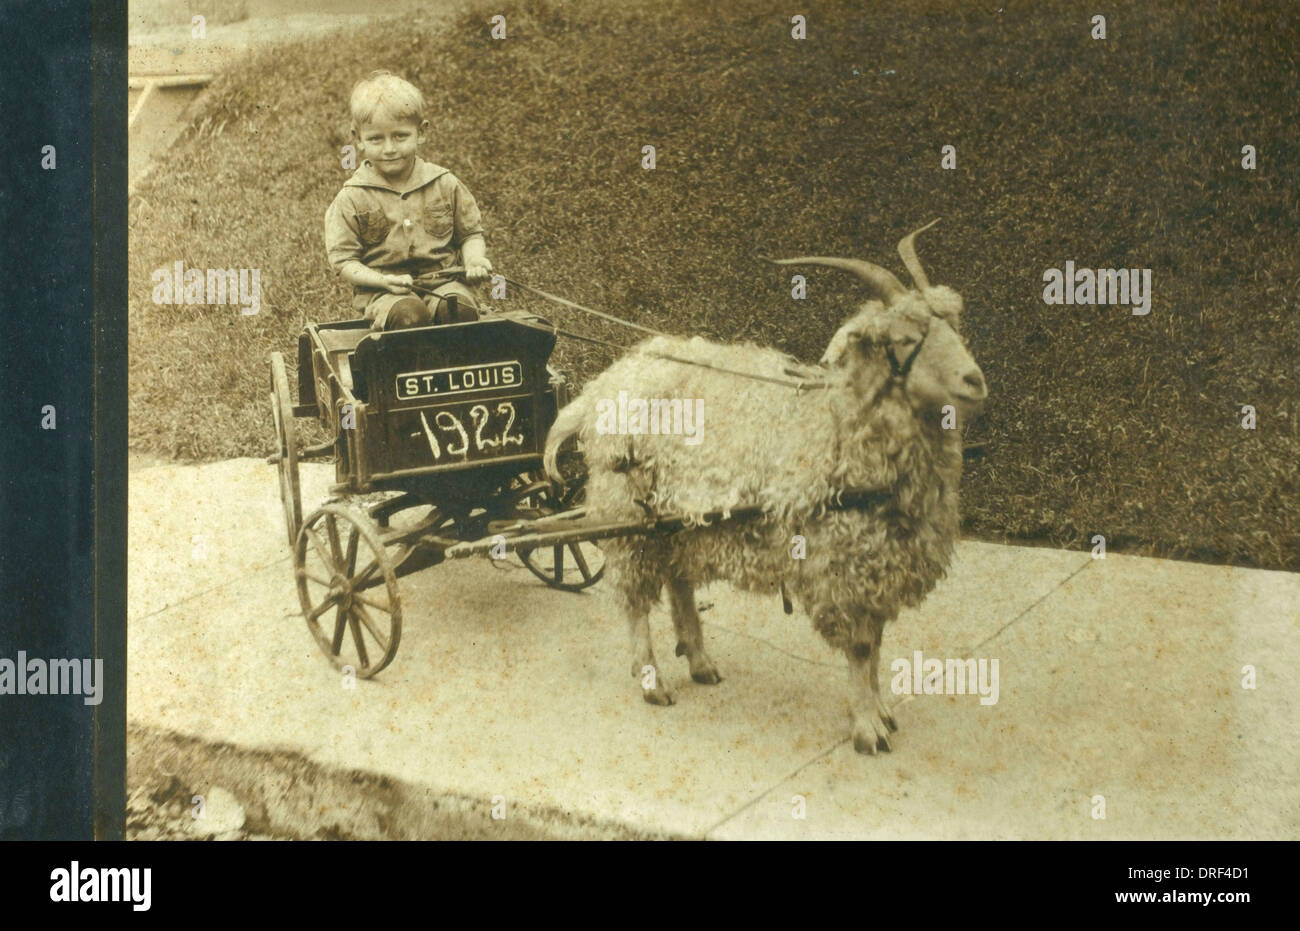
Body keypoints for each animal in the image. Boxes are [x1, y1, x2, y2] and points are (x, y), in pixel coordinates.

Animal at [540, 222, 982, 754]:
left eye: (953, 323)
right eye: (903, 338)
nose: (975, 381)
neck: (836, 426)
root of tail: (603, 385)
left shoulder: (875, 562)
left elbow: (875, 643)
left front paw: (880, 712)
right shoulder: (838, 562)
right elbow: (860, 648)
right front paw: (866, 729)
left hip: (676, 519)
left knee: (679, 583)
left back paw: (700, 660)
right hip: (629, 518)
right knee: (636, 602)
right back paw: (653, 681)